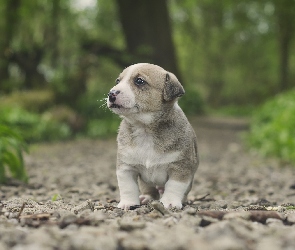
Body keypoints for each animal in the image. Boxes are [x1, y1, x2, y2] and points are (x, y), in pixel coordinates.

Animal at [107, 63, 199, 209]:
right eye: (117, 81)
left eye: (139, 81)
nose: (111, 94)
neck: (145, 129)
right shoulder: (126, 168)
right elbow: (128, 187)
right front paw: (128, 203)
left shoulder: (180, 168)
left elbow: (174, 186)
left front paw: (170, 202)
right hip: (146, 183)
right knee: (150, 190)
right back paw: (146, 197)